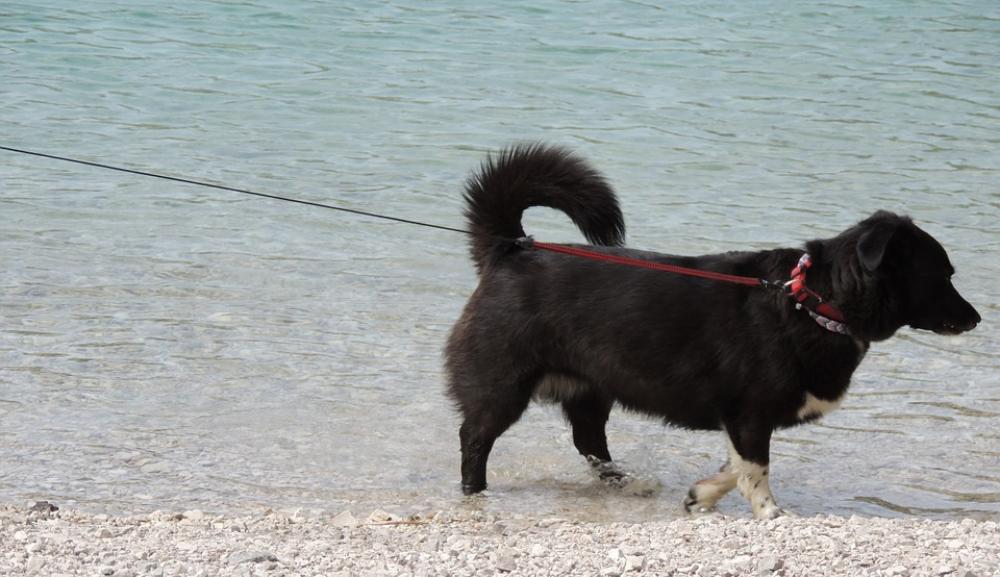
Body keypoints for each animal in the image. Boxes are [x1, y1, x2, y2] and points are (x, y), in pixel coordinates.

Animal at [445, 144, 981, 518]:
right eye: (943, 275)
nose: (976, 319)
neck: (811, 301)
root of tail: (513, 248)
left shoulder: (742, 419)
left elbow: (736, 466)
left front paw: (701, 495)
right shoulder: (750, 413)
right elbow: (755, 468)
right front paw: (770, 513)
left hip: (591, 387)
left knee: (590, 441)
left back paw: (626, 483)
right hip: (502, 384)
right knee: (475, 438)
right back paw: (475, 493)